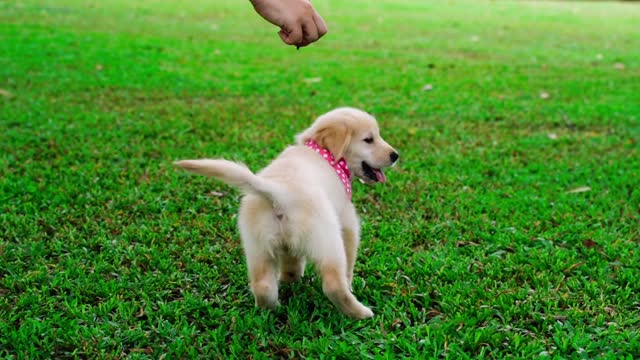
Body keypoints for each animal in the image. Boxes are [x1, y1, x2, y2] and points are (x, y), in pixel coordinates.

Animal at [174, 107, 396, 318]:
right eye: (369, 139)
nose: (395, 155)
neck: (322, 152)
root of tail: (278, 191)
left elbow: (292, 262)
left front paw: (291, 280)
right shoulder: (347, 220)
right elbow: (350, 257)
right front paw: (350, 283)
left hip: (257, 246)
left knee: (263, 286)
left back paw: (273, 308)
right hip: (327, 239)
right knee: (333, 284)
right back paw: (361, 313)